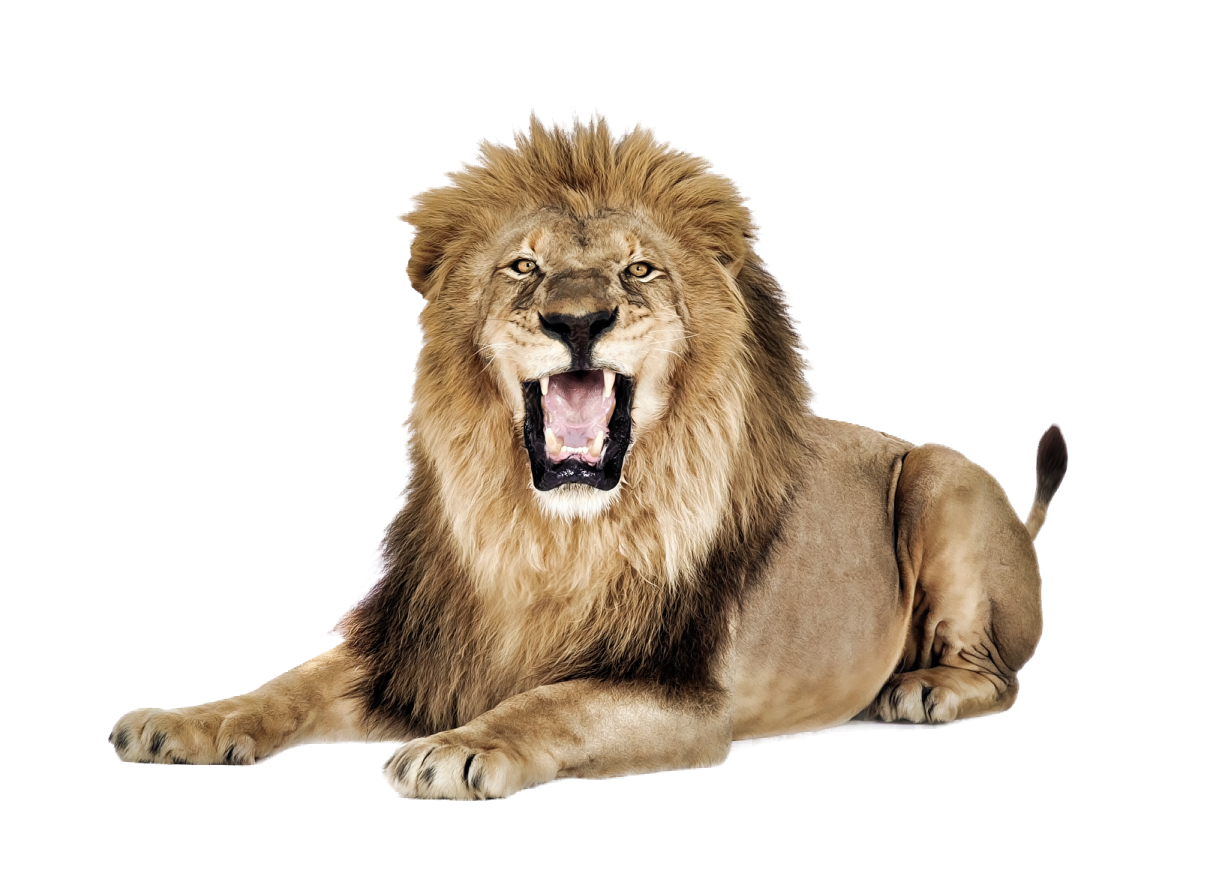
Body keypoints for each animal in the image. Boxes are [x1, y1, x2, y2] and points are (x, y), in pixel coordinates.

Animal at [110, 111, 1068, 799]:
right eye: (522, 268)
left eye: (638, 271)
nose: (576, 320)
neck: (547, 535)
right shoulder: (417, 648)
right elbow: (288, 684)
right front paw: (183, 722)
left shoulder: (682, 694)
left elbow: (554, 700)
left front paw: (458, 748)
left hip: (942, 473)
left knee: (1001, 674)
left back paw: (923, 689)